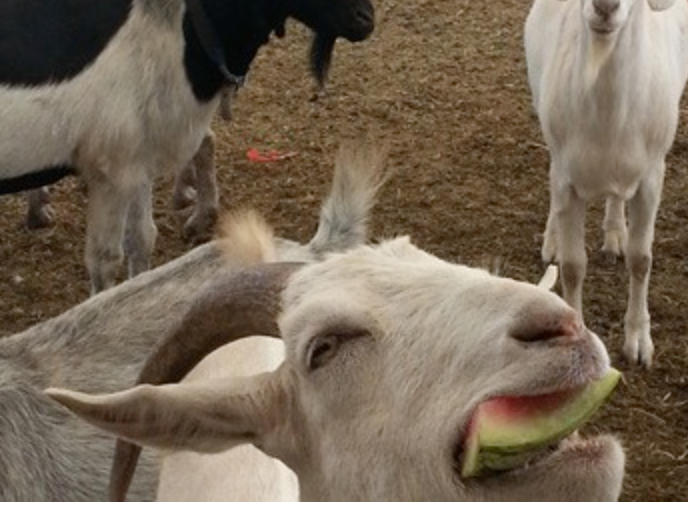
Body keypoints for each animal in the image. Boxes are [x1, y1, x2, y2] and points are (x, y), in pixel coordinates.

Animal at [524, 0, 688, 366]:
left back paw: (615, 235)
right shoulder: (568, 181)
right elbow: (572, 267)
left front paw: (638, 342)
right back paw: (553, 238)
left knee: (616, 197)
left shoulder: (651, 177)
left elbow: (641, 259)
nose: (605, 7)